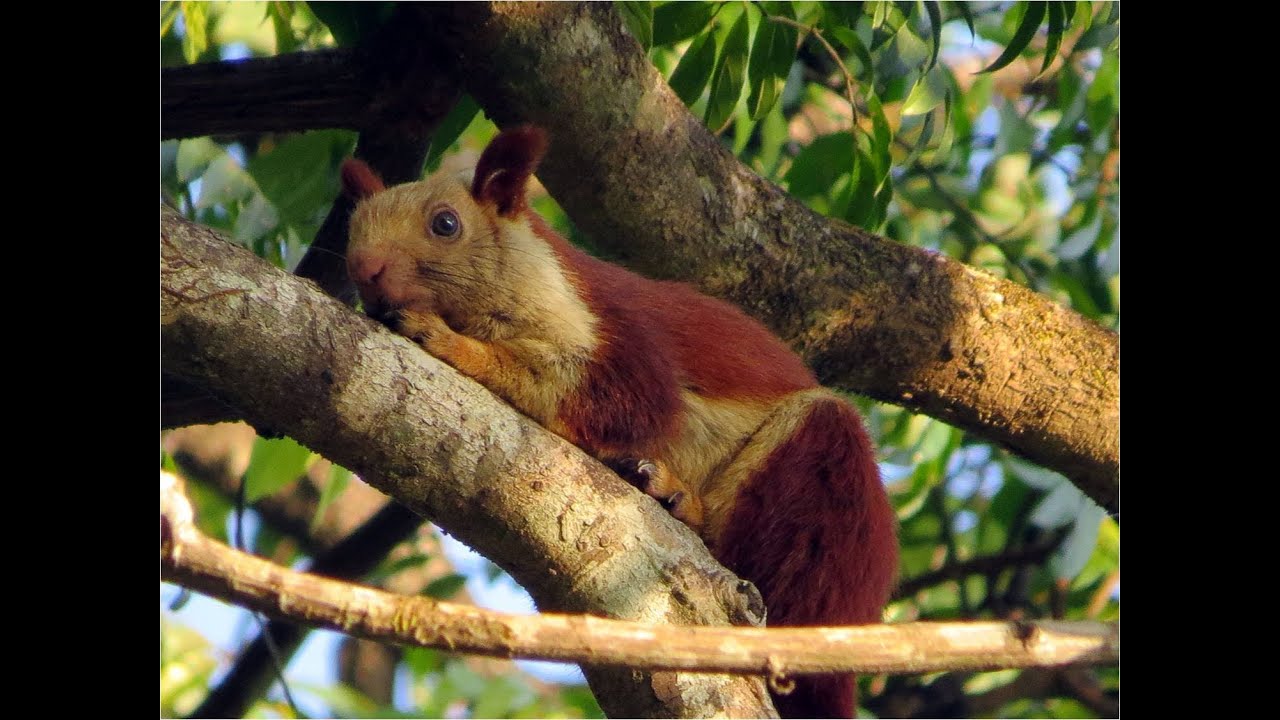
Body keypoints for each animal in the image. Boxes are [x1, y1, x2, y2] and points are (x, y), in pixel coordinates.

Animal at [340, 126, 898, 718]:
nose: (364, 268)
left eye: (445, 223)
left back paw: (680, 499)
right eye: (353, 228)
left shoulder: (625, 343)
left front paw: (449, 341)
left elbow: (614, 399)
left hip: (821, 489)